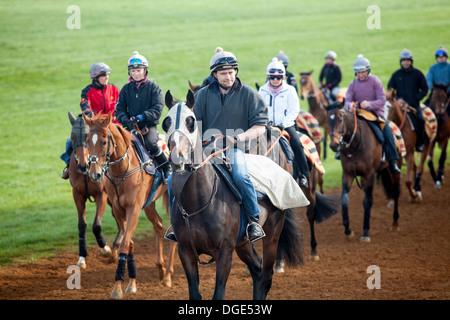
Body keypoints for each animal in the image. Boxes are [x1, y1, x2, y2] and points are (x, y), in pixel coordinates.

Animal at [67, 111, 118, 268]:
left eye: (86, 137)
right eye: (73, 137)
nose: (83, 165)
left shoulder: (101, 195)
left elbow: (96, 225)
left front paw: (105, 249)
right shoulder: (77, 194)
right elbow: (81, 225)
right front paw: (82, 257)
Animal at [82, 112, 178, 300]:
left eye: (103, 141)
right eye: (88, 141)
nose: (94, 174)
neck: (123, 172)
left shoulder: (134, 209)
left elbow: (125, 244)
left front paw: (117, 288)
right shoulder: (119, 210)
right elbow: (130, 243)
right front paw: (131, 283)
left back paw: (168, 275)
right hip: (149, 204)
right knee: (158, 226)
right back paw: (161, 268)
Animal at [162, 90, 302, 300]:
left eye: (191, 122)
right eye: (166, 122)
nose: (176, 158)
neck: (197, 203)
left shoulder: (225, 251)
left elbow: (218, 294)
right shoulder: (185, 251)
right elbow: (195, 294)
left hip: (272, 234)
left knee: (266, 276)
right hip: (243, 243)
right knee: (257, 269)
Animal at [326, 104, 402, 241]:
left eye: (340, 119)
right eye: (327, 121)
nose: (334, 145)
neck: (356, 145)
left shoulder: (369, 175)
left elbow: (367, 201)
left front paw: (365, 232)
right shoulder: (348, 174)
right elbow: (344, 199)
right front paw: (348, 230)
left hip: (395, 171)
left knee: (396, 192)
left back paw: (395, 223)